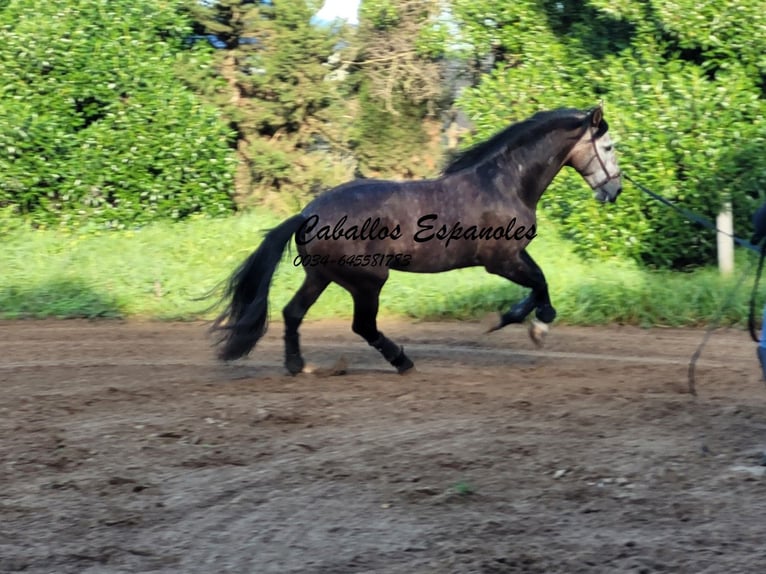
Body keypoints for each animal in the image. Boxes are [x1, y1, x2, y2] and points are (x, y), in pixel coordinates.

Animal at [212, 104, 624, 376]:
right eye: (608, 147)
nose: (615, 191)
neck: (504, 182)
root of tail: (306, 213)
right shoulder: (501, 259)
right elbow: (540, 283)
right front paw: (535, 324)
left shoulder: (513, 255)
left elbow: (538, 283)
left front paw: (520, 319)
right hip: (368, 280)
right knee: (363, 326)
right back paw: (402, 361)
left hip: (322, 276)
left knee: (292, 312)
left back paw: (296, 365)